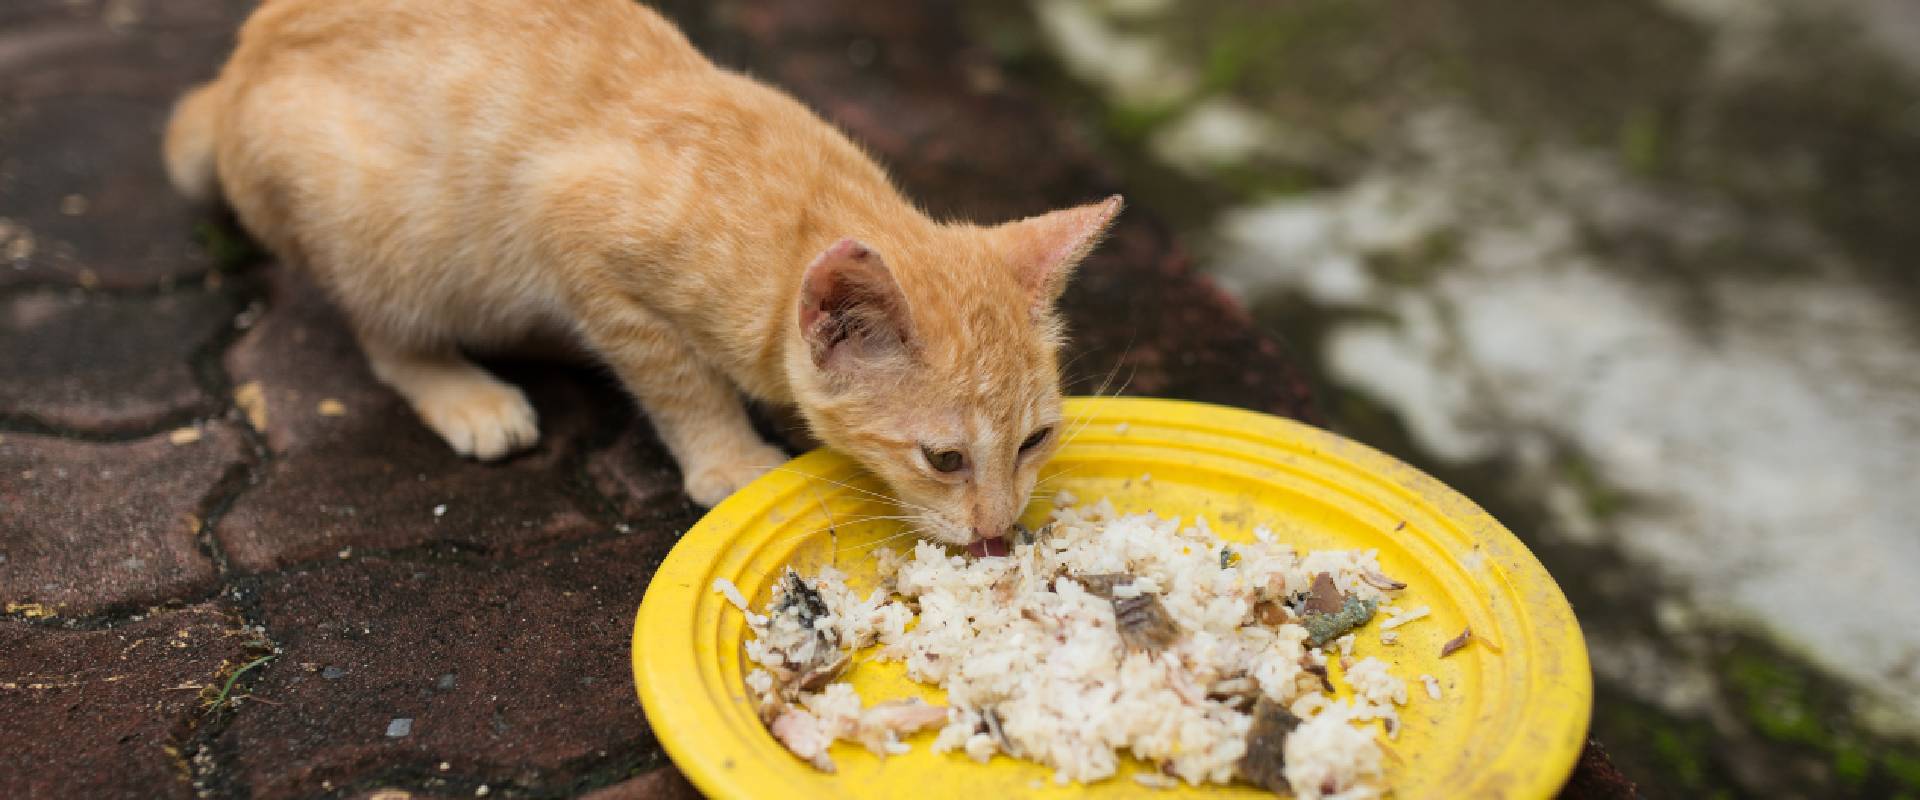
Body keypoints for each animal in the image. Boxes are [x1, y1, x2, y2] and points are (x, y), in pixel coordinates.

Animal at [167, 0, 1121, 548]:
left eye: (1036, 439)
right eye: (945, 459)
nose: (1001, 531)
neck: (803, 210)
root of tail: (232, 74)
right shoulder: (571, 232)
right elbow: (678, 377)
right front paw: (728, 455)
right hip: (376, 232)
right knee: (383, 334)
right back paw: (462, 388)